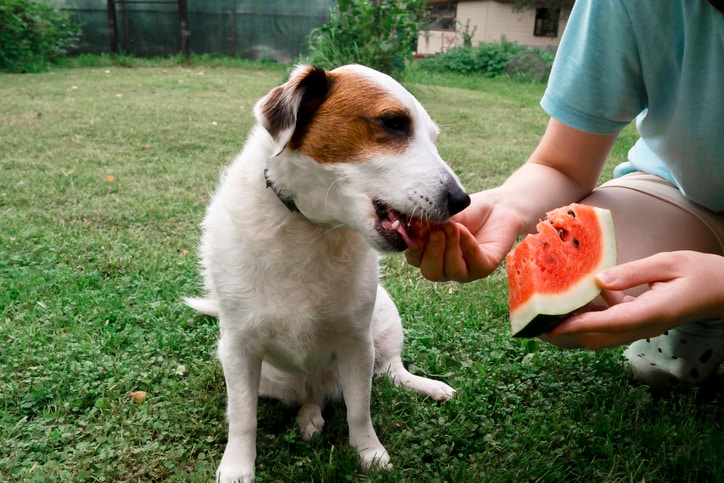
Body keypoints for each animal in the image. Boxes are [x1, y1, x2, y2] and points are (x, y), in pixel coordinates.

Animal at [184, 65, 472, 483]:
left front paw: (369, 451)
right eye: (393, 123)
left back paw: (425, 386)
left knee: (390, 371)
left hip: (385, 318)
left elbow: (359, 410)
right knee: (309, 395)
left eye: (432, 137)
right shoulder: (238, 349)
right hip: (272, 377)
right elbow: (242, 417)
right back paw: (309, 415)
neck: (314, 229)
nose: (462, 201)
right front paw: (238, 464)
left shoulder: (357, 346)